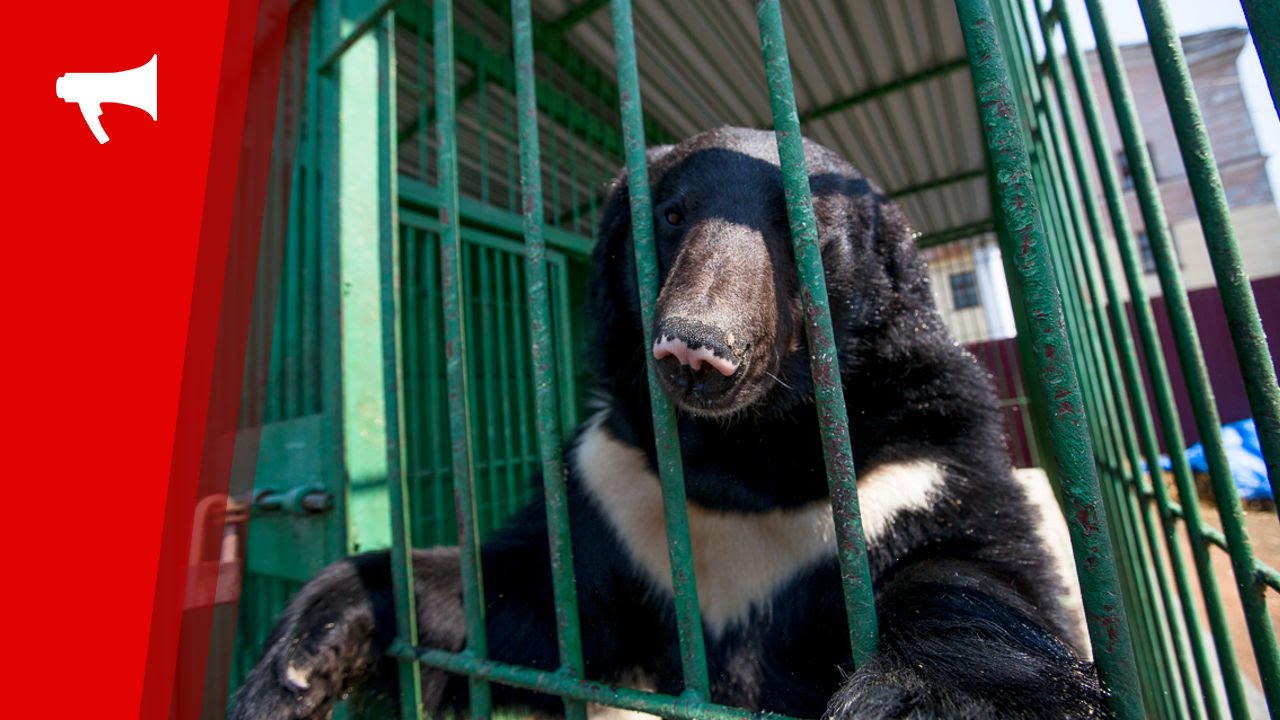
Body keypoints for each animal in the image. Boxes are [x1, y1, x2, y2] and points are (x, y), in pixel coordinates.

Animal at [232, 126, 1111, 712]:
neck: (740, 459)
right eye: (673, 215)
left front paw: (927, 698)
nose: (697, 347)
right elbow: (523, 599)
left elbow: (974, 574)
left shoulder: (913, 471)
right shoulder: (615, 490)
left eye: (804, 234)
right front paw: (299, 661)